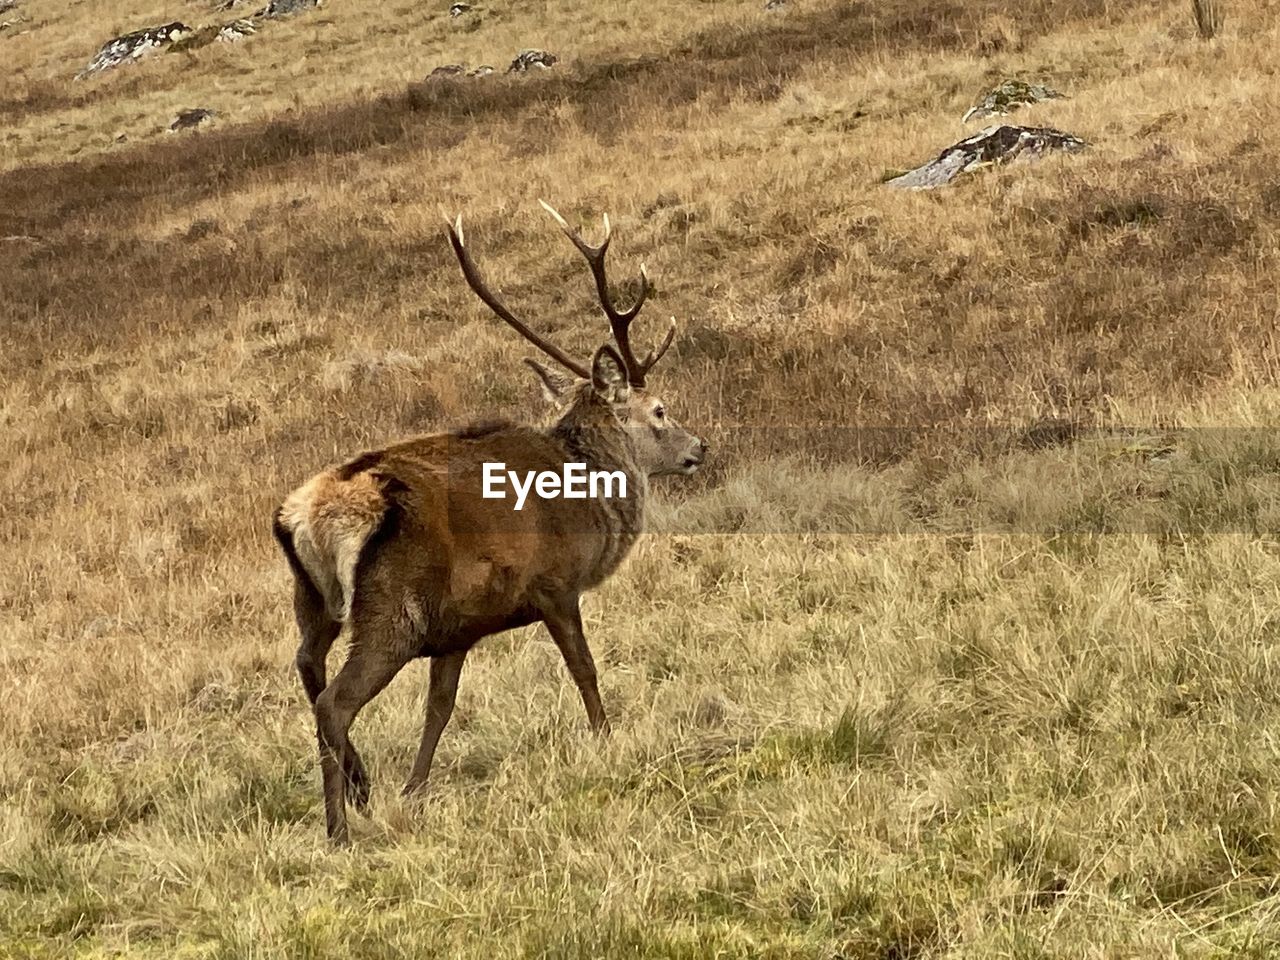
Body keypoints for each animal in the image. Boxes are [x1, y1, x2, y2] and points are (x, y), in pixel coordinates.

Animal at [272, 200, 711, 839]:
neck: (587, 487)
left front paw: (415, 787)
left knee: (307, 666)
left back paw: (362, 785)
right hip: (391, 610)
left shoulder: (457, 627)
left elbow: (440, 707)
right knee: (334, 703)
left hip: (315, 599)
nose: (698, 447)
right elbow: (584, 668)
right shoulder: (554, 584)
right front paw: (606, 738)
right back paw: (338, 828)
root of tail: (309, 516)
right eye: (659, 410)